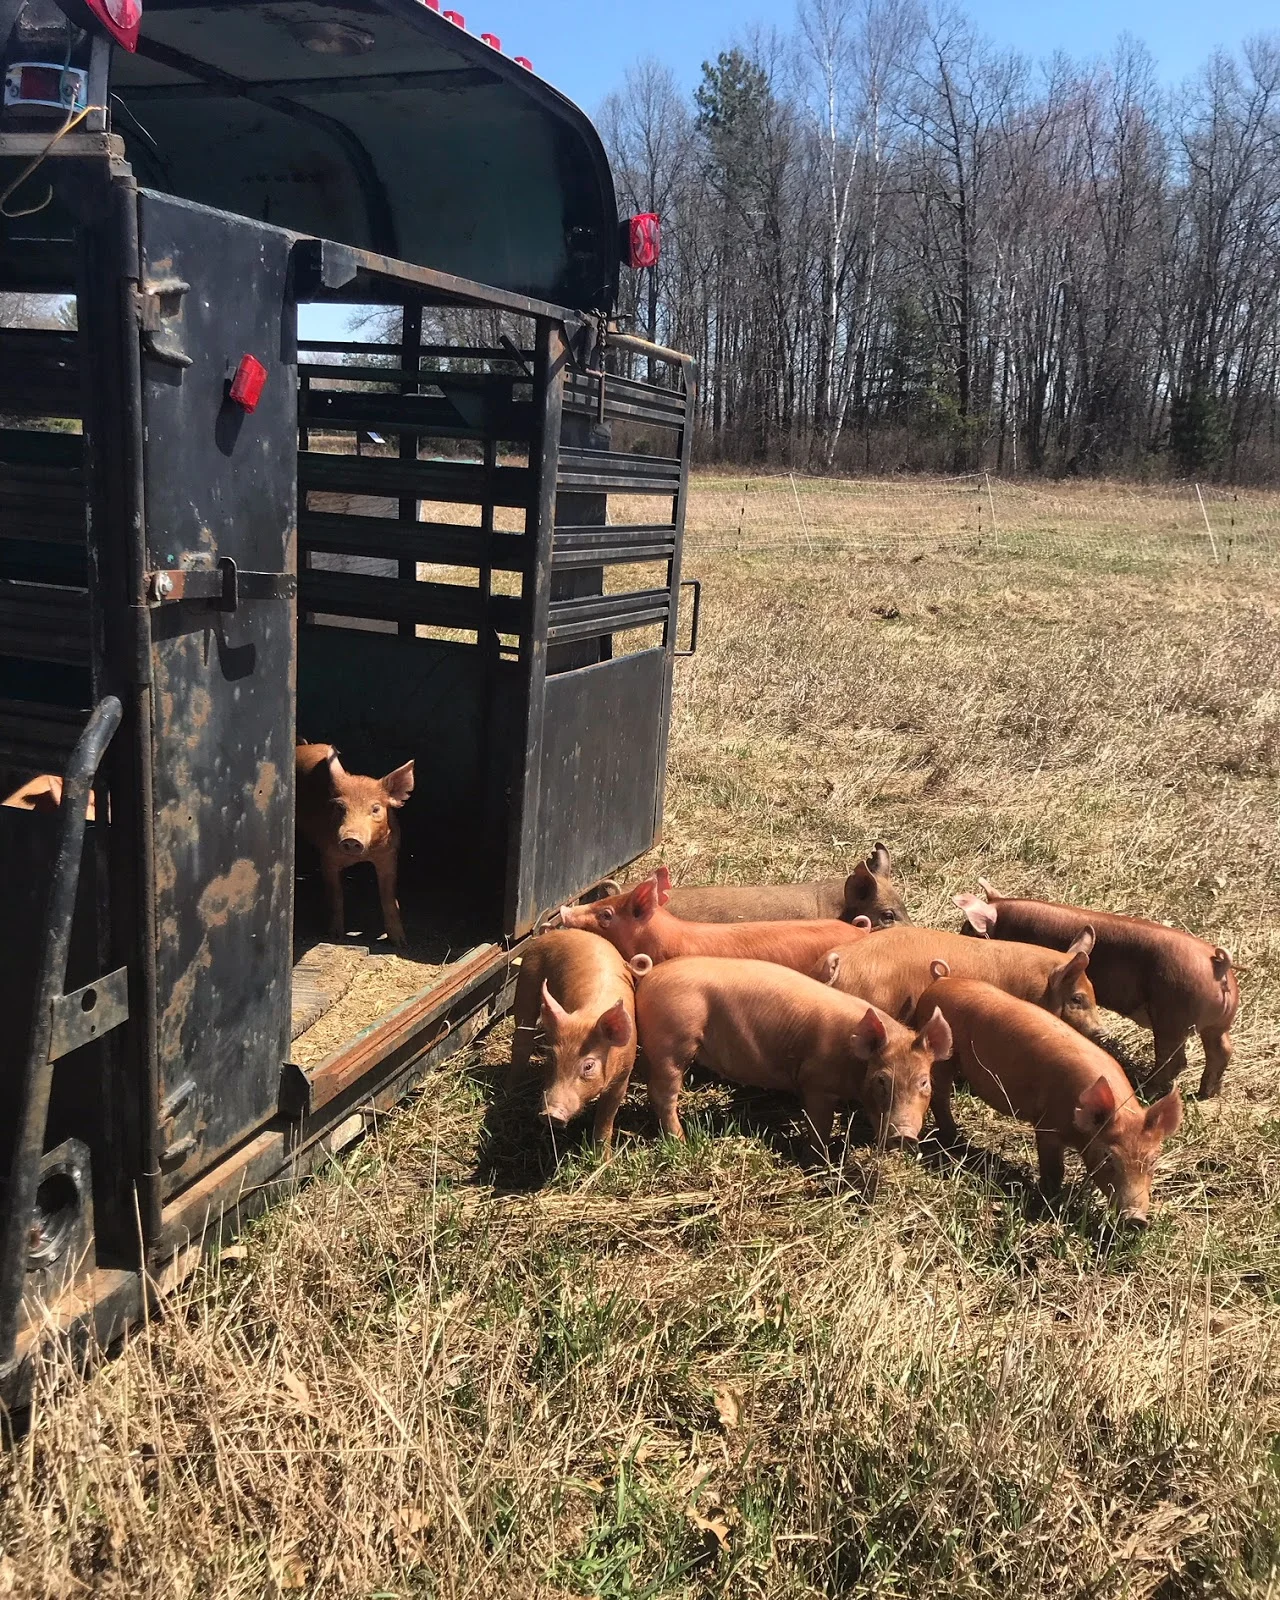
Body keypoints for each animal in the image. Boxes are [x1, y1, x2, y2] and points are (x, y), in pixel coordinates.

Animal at [295, 741, 414, 945]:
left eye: (375, 809)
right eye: (340, 807)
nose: (351, 839)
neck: (362, 856)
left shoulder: (389, 854)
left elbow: (388, 897)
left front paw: (400, 942)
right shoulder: (328, 858)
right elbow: (336, 896)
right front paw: (335, 935)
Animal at [509, 929, 642, 1147]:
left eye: (588, 1066)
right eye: (552, 1058)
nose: (551, 1114)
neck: (589, 1016)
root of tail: (556, 931)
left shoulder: (623, 1076)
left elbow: (605, 1121)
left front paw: (602, 1154)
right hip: (527, 978)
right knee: (522, 1039)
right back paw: (511, 1090)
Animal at [633, 955, 954, 1156]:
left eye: (924, 1082)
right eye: (881, 1080)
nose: (904, 1135)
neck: (852, 1061)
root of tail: (650, 977)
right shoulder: (816, 1083)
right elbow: (820, 1124)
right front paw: (819, 1159)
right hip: (673, 1040)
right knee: (663, 1094)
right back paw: (681, 1141)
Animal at [915, 976, 1183, 1227]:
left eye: (1153, 1160)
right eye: (1109, 1157)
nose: (1136, 1220)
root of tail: (940, 982)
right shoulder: (1047, 1126)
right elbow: (1054, 1169)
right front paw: (1050, 1201)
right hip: (943, 1059)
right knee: (940, 1095)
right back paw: (953, 1140)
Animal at [955, 881, 1239, 1099]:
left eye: (968, 928)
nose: (958, 935)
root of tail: (1219, 966)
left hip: (1173, 1016)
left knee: (1175, 1061)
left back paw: (1145, 1091)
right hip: (1214, 1025)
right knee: (1221, 1050)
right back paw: (1206, 1094)